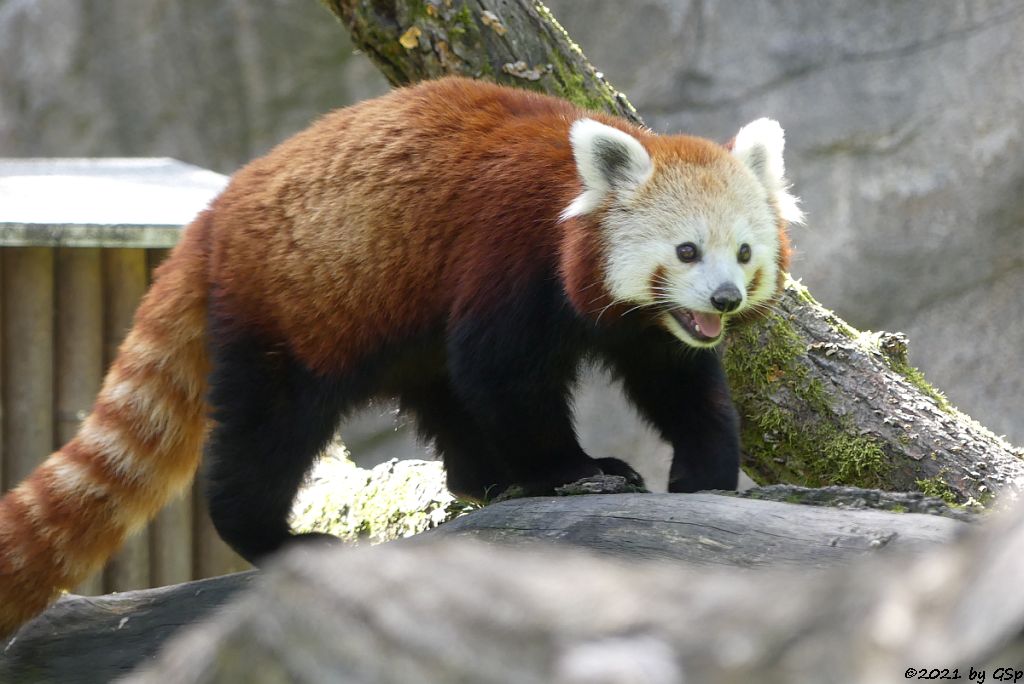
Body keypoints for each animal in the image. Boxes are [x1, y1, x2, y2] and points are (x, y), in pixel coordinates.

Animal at [0, 76, 798, 634]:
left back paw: (482, 479)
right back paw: (275, 537)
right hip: (293, 308)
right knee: (270, 429)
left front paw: (705, 472)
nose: (726, 298)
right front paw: (577, 472)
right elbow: (502, 375)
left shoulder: (647, 327)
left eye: (744, 252)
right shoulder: (507, 256)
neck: (571, 211)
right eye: (686, 250)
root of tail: (212, 215)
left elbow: (679, 385)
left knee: (440, 395)